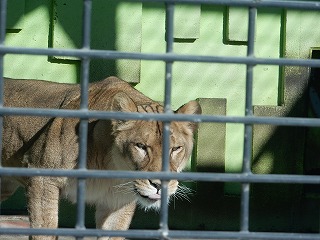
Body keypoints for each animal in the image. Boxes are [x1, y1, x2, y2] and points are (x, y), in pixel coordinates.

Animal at [0, 77, 201, 240]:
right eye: (141, 146)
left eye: (176, 149)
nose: (160, 185)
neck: (110, 167)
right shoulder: (42, 178)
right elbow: (44, 231)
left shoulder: (119, 201)